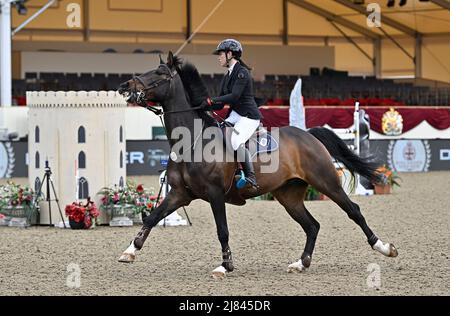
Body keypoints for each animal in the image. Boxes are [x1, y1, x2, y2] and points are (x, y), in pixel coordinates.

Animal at [117, 52, 398, 278]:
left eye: (160, 73)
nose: (124, 86)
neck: (192, 141)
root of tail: (309, 135)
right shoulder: (179, 194)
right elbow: (153, 217)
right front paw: (129, 251)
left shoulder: (215, 194)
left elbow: (222, 230)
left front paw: (225, 266)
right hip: (288, 195)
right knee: (312, 225)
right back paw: (301, 263)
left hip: (326, 182)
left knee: (354, 211)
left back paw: (385, 248)